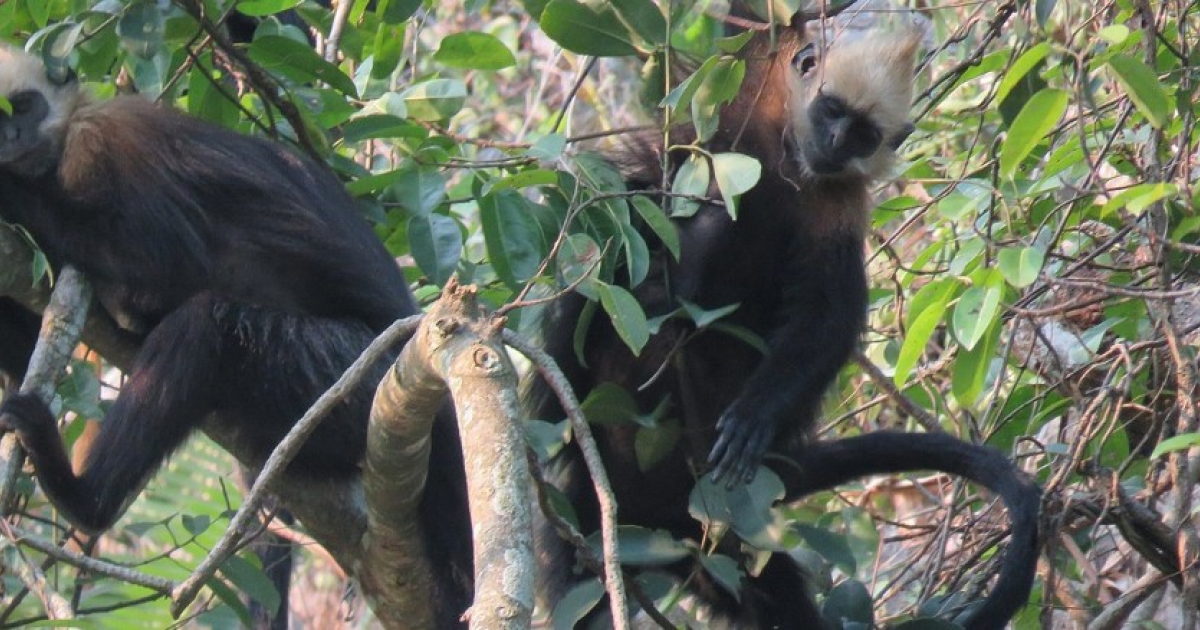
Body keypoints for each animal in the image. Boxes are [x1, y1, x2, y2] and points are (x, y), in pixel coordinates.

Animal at [528, 8, 1041, 628]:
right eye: (832, 112)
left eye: (865, 134)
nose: (836, 143)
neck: (785, 156)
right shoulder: (748, 86)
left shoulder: (836, 202)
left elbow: (828, 315)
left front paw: (755, 415)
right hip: (599, 514)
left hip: (707, 531)